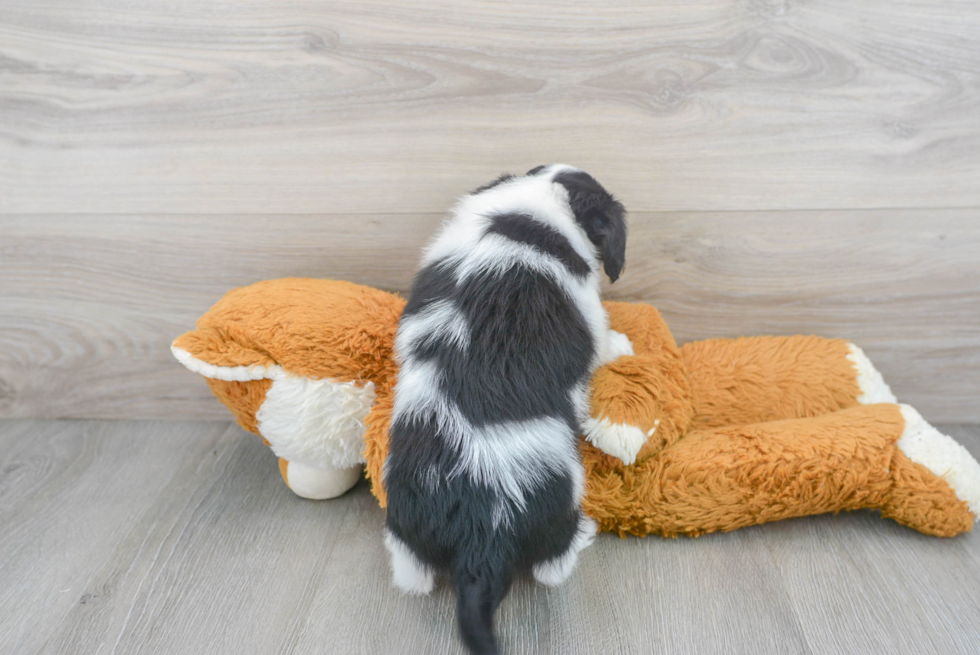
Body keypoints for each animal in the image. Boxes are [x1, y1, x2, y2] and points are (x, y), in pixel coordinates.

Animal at [378, 164, 632, 655]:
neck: (530, 210)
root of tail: (480, 537)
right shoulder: (590, 314)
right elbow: (603, 339)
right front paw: (623, 345)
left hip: (406, 527)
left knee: (411, 574)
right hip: (561, 500)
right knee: (553, 566)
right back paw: (584, 534)